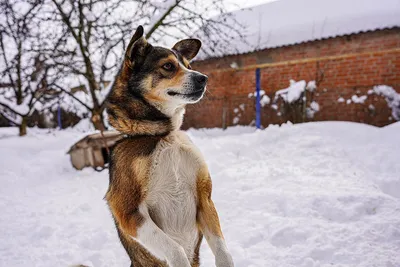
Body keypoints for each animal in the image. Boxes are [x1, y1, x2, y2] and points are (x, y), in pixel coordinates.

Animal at [105, 25, 234, 267]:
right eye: (168, 66)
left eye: (188, 66)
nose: (204, 78)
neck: (163, 135)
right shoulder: (127, 210)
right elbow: (175, 250)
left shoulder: (205, 198)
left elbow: (223, 251)